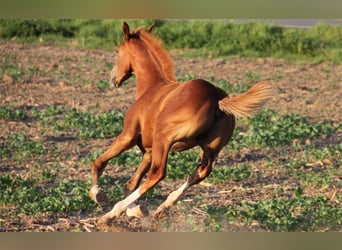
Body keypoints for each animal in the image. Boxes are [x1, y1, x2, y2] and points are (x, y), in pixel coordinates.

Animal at [89, 22, 274, 225]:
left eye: (117, 51)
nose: (112, 78)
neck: (152, 87)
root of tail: (216, 97)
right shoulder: (148, 151)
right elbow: (131, 183)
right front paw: (134, 210)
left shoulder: (128, 136)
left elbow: (99, 162)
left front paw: (98, 195)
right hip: (210, 149)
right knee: (201, 172)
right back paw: (163, 207)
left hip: (164, 138)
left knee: (158, 174)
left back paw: (111, 213)